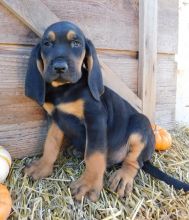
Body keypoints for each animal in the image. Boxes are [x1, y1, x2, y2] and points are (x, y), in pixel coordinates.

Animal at [24, 21, 189, 202]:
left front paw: (88, 185)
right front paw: (42, 167)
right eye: (47, 44)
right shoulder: (55, 119)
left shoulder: (95, 120)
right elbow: (50, 145)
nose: (59, 67)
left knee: (133, 161)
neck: (64, 90)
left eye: (76, 43)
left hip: (140, 125)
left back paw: (123, 177)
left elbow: (94, 156)